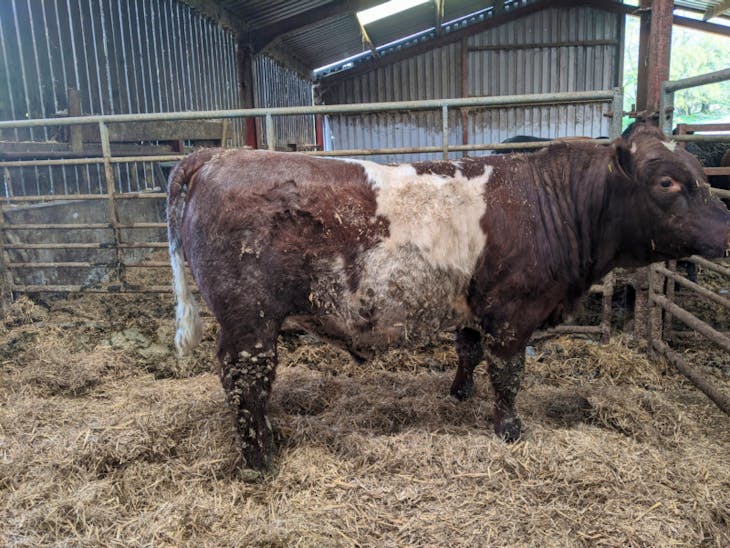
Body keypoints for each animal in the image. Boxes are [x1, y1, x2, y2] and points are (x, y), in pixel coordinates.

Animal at [167, 122, 730, 472]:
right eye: (667, 182)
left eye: (702, 178)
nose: (727, 231)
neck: (553, 202)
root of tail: (218, 155)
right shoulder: (514, 312)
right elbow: (507, 374)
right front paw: (510, 430)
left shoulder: (475, 306)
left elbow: (468, 350)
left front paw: (459, 394)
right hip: (249, 320)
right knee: (245, 381)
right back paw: (260, 460)